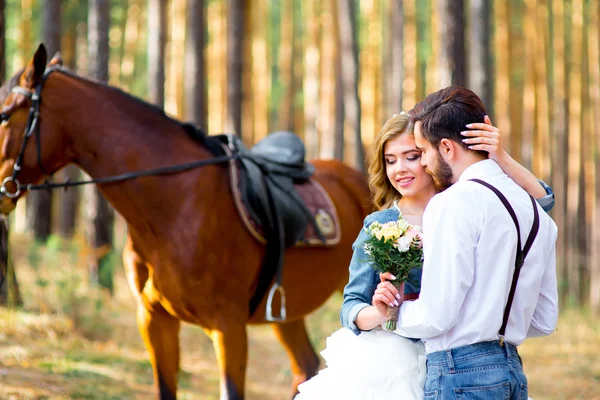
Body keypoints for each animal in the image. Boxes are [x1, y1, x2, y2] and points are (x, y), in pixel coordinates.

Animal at [0, 45, 370, 398]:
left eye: (4, 114)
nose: (2, 194)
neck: (173, 206)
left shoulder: (228, 326)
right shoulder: (154, 319)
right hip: (285, 310)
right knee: (304, 365)